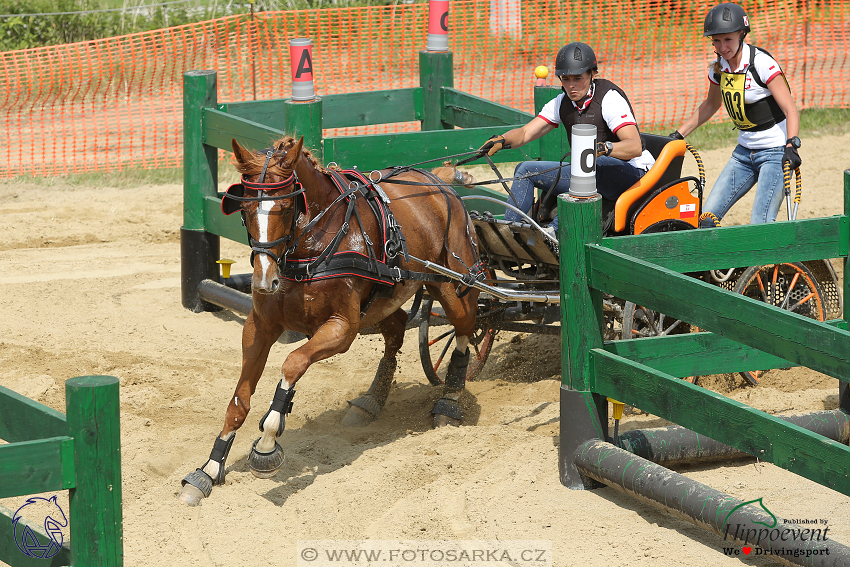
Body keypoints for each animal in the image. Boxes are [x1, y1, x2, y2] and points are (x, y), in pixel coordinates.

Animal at [177, 136, 484, 506]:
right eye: (246, 210)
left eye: (285, 208)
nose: (264, 281)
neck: (310, 246)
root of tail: (438, 180)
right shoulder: (259, 327)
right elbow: (239, 401)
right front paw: (208, 471)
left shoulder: (342, 328)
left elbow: (293, 363)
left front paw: (267, 444)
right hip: (383, 302)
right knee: (396, 331)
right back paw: (370, 402)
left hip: (455, 289)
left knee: (465, 331)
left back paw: (449, 399)